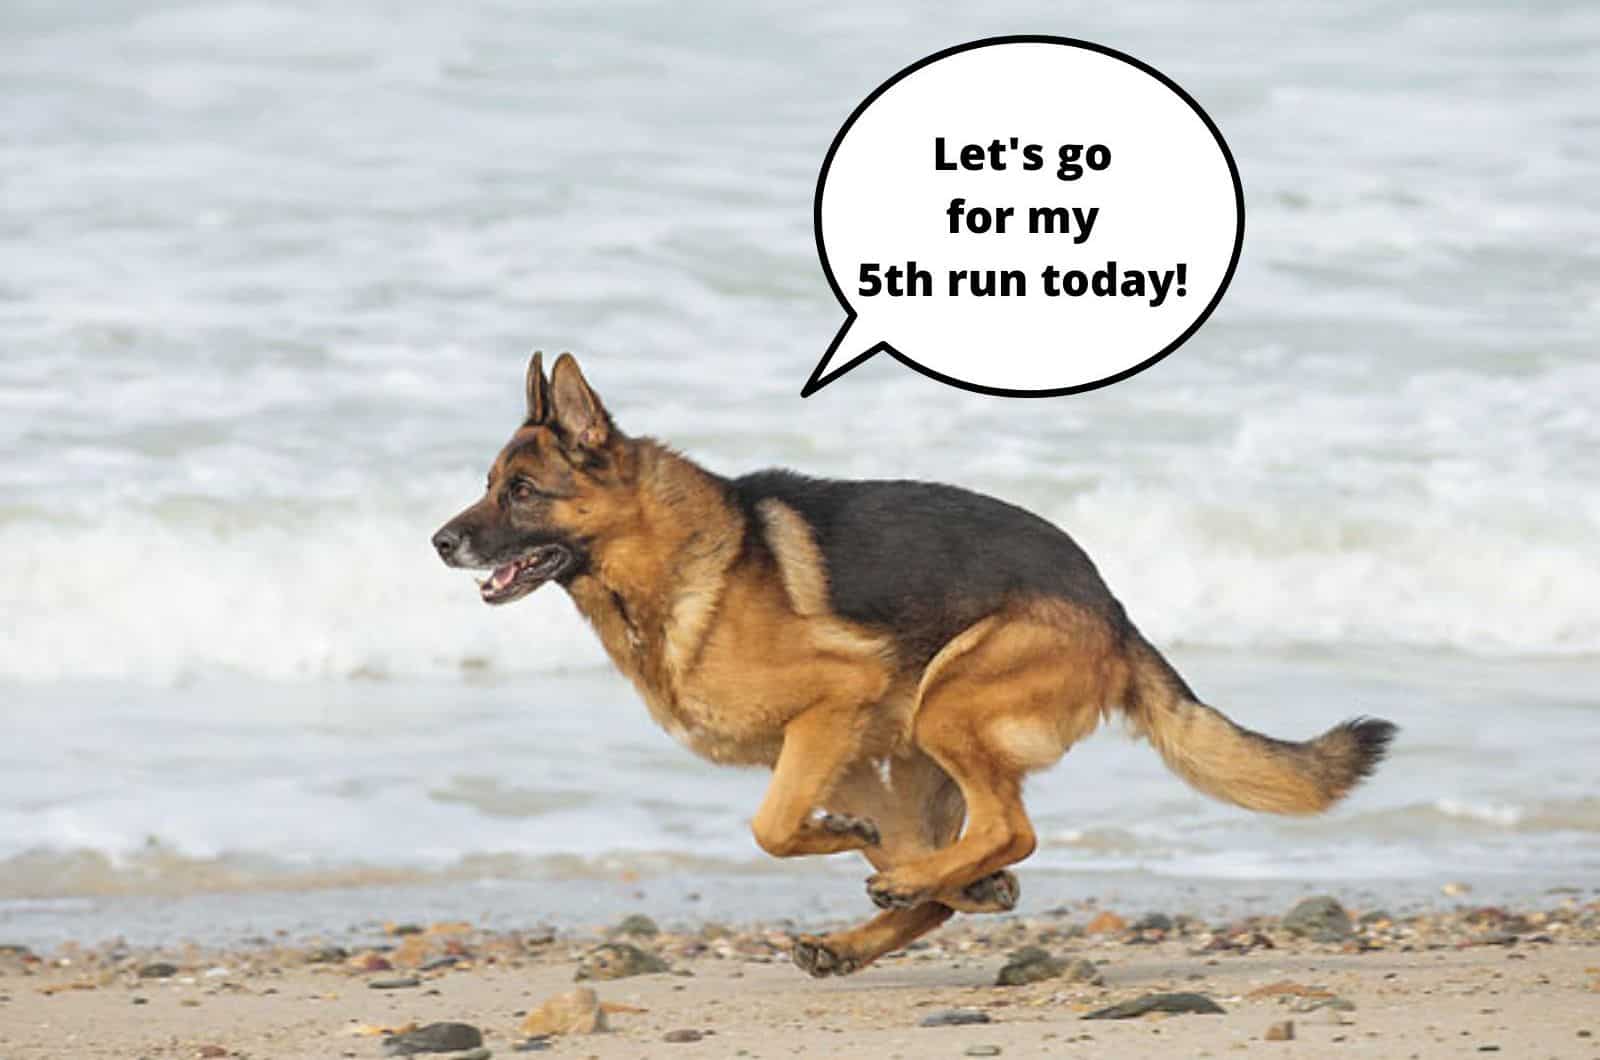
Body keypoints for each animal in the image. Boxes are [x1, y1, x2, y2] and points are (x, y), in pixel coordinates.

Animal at [432, 355, 1395, 979]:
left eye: (522, 492)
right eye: (486, 484)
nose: (440, 542)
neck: (665, 558)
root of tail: (1113, 608)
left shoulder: (835, 704)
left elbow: (772, 826)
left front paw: (845, 844)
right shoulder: (837, 749)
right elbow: (794, 824)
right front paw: (886, 863)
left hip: (942, 707)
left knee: (1009, 829)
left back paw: (920, 882)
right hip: (903, 756)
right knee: (962, 861)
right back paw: (903, 915)